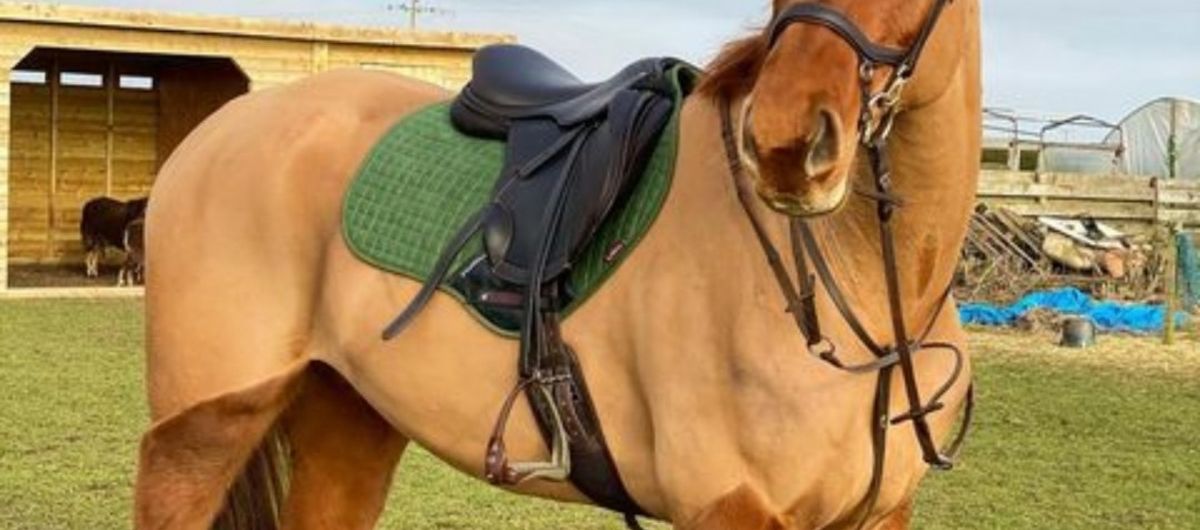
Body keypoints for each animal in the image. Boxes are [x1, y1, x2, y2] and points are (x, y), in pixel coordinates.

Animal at [134, 0, 981, 528]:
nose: (783, 142)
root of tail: (229, 121)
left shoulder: (880, 515)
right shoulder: (732, 510)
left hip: (350, 414)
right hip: (207, 421)